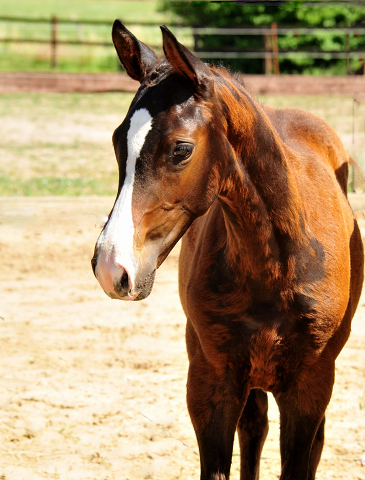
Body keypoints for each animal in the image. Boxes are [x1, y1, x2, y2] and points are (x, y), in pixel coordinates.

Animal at [91, 21, 364, 480]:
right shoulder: (211, 384)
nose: (111, 267)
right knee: (254, 429)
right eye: (117, 142)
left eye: (181, 149)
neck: (276, 263)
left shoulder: (309, 387)